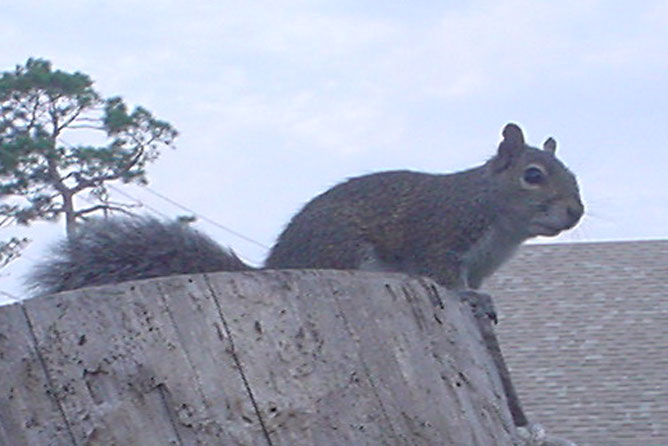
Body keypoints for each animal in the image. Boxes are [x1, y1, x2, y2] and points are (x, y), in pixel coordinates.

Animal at [28, 123, 584, 442]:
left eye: (573, 174)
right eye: (534, 175)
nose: (576, 212)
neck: (496, 215)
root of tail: (277, 265)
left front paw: (485, 304)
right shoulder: (439, 239)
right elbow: (444, 277)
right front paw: (470, 298)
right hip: (348, 251)